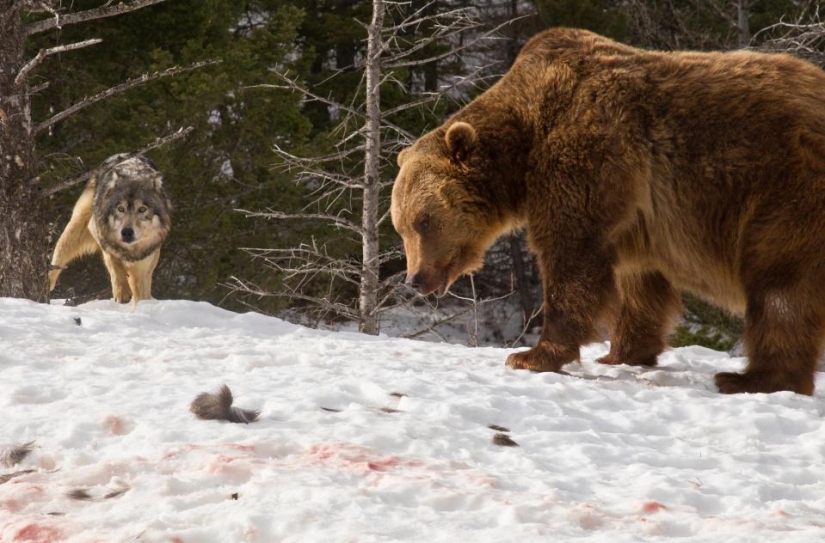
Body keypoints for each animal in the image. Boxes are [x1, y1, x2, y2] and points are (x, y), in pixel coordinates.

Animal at [49, 154, 172, 304]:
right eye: (121, 208)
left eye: (142, 209)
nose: (126, 232)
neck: (130, 251)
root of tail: (125, 154)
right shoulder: (100, 235)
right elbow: (114, 263)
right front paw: (121, 292)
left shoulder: (143, 269)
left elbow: (140, 295)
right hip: (73, 232)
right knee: (56, 261)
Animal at [390, 27, 825, 395]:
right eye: (401, 227)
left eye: (424, 221)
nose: (415, 278)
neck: (524, 141)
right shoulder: (637, 214)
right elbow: (637, 281)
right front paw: (622, 352)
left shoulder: (584, 156)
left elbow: (572, 255)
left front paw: (532, 355)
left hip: (783, 189)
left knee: (778, 286)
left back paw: (752, 377)